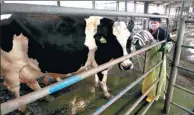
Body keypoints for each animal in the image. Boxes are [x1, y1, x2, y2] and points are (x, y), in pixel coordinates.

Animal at [0, 13, 135, 106]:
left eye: (130, 40)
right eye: (114, 42)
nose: (127, 66)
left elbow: (96, 77)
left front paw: (96, 86)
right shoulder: (101, 63)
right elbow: (103, 80)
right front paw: (106, 94)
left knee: (32, 83)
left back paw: (47, 97)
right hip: (11, 69)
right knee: (15, 91)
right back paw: (25, 109)